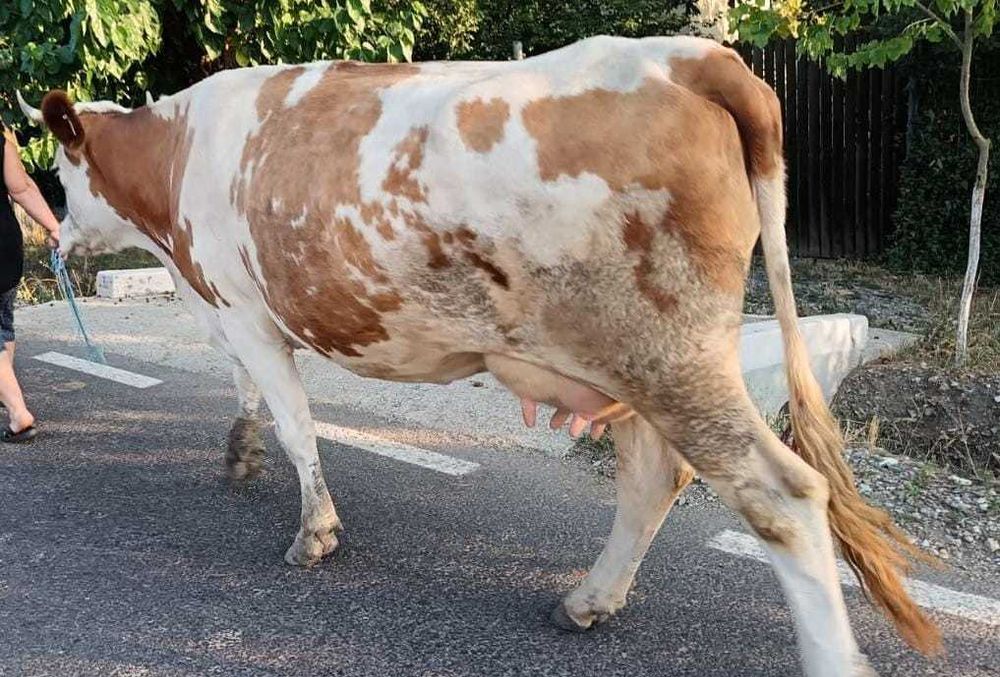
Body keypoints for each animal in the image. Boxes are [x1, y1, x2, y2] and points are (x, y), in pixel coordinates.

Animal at [20, 35, 938, 676]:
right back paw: (588, 599)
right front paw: (239, 453)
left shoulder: (244, 308)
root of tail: (689, 56)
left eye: (62, 170)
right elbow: (249, 393)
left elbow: (297, 425)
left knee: (782, 495)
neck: (177, 158)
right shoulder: (226, 305)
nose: (55, 237)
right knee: (654, 474)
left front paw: (314, 531)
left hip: (667, 354)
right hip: (641, 362)